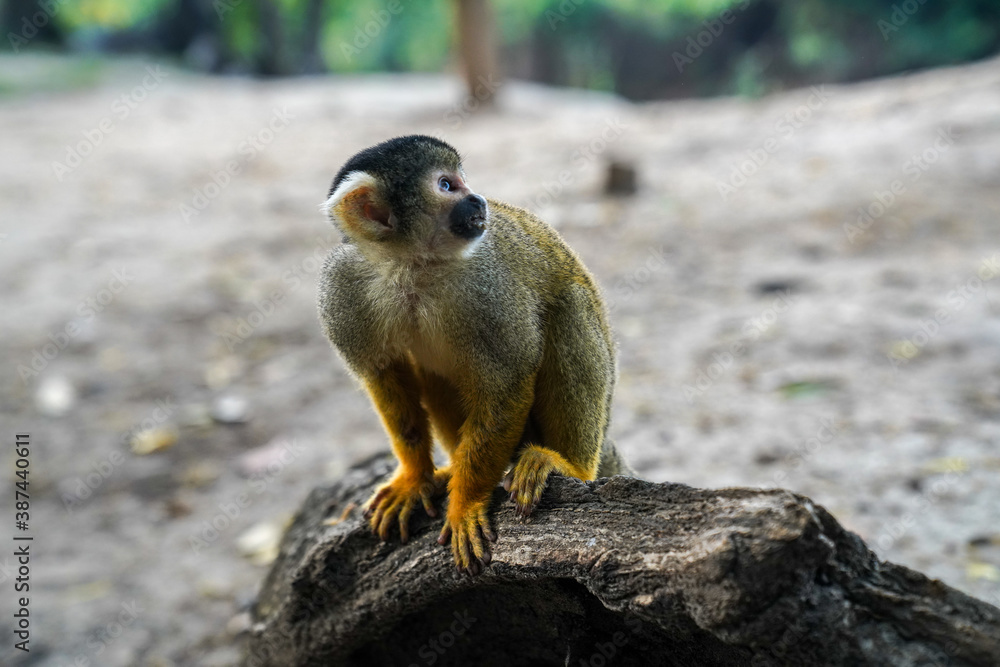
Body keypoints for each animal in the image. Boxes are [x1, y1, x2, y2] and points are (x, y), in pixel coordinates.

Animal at [318, 135, 632, 575]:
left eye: (462, 180)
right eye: (446, 185)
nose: (478, 199)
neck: (411, 266)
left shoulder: (487, 285)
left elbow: (507, 382)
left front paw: (465, 504)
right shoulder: (343, 284)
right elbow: (384, 376)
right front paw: (415, 478)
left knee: (570, 304)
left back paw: (570, 465)